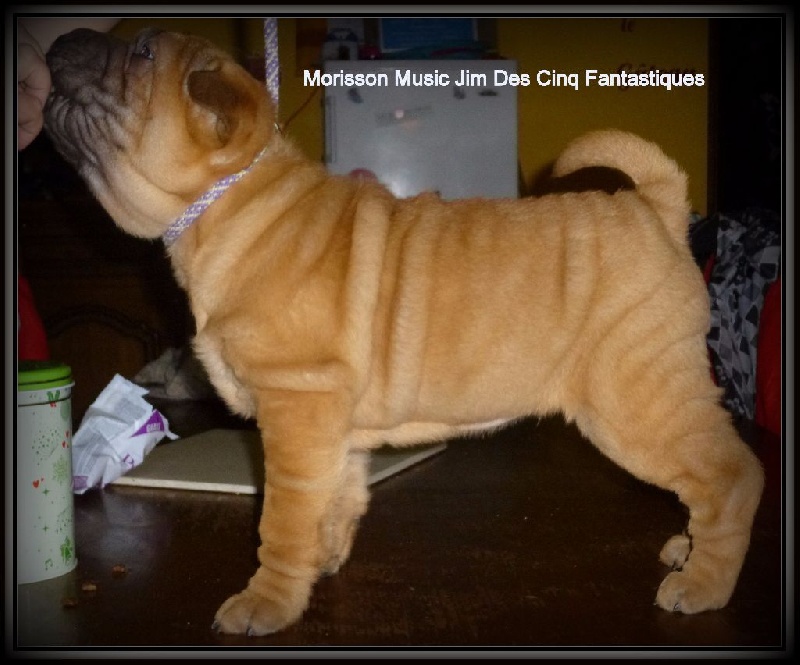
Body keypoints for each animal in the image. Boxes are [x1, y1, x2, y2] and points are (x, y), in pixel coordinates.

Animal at [44, 28, 764, 636]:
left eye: (140, 55)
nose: (61, 40)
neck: (236, 202)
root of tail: (658, 209)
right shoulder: (325, 420)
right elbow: (333, 498)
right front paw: (320, 560)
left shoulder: (294, 406)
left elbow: (281, 518)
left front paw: (267, 602)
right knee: (709, 477)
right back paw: (688, 548)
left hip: (634, 403)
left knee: (733, 475)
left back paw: (702, 584)